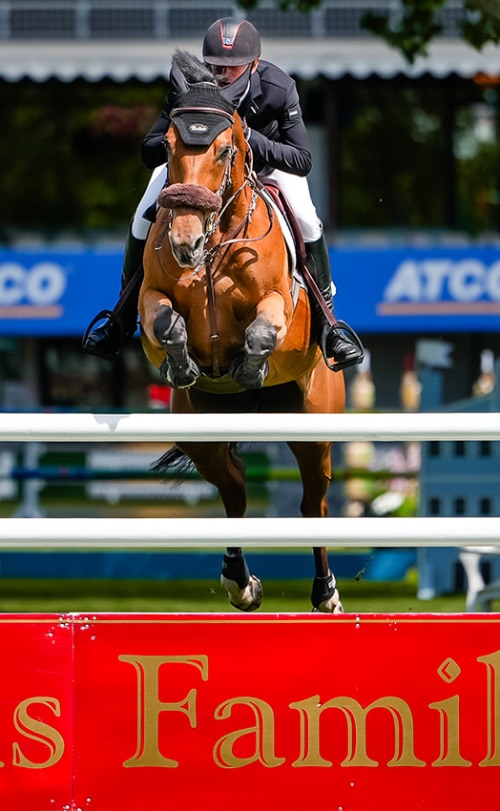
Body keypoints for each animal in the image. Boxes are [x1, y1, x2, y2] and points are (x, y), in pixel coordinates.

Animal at [139, 51, 346, 613]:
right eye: (168, 146)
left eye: (226, 148)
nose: (184, 243)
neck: (216, 241)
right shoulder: (150, 298)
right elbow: (164, 322)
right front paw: (185, 364)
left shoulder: (278, 303)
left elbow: (261, 331)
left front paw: (249, 368)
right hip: (202, 433)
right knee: (233, 487)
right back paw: (240, 581)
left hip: (314, 424)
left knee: (313, 502)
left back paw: (325, 593)